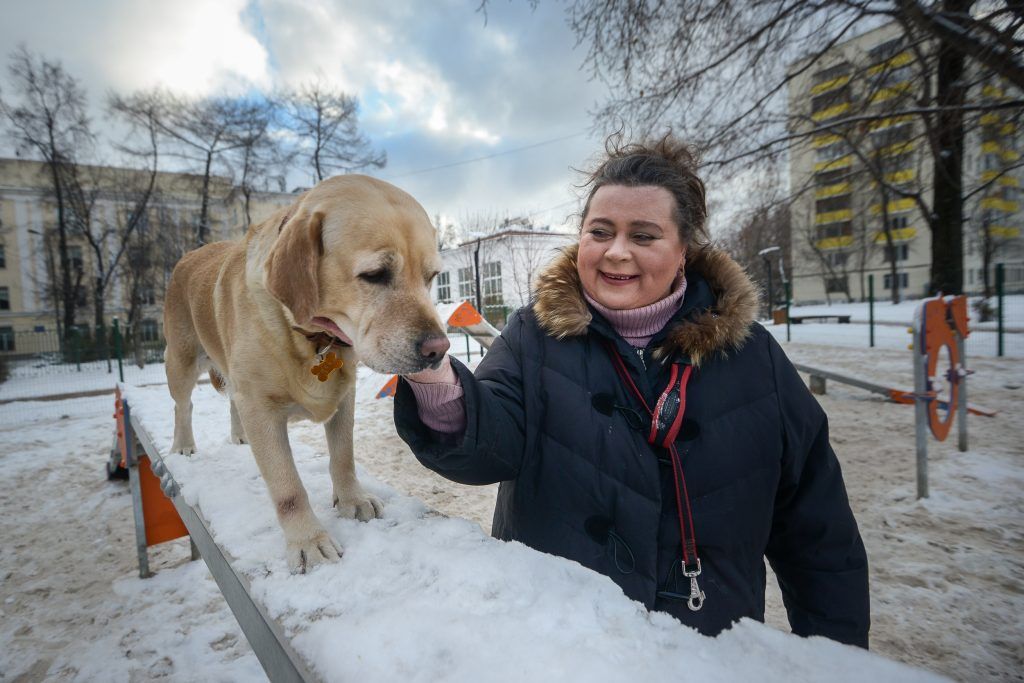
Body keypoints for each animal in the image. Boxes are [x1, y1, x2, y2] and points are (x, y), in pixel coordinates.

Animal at [162, 175, 448, 573]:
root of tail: (188, 255)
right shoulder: (261, 409)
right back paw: (183, 444)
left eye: (431, 276)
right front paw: (308, 542)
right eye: (375, 275)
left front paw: (352, 500)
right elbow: (288, 488)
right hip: (181, 360)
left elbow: (343, 457)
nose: (439, 349)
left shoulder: (344, 396)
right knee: (182, 405)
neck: (312, 338)